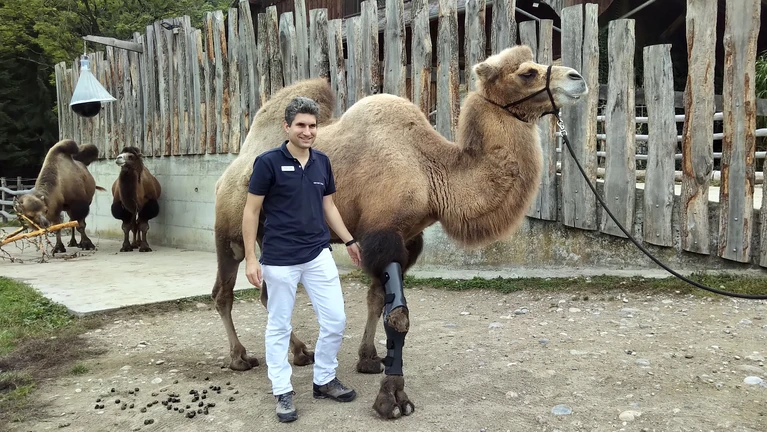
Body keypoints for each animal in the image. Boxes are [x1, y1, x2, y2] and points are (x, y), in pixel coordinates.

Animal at [210, 45, 588, 419]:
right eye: (527, 72)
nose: (578, 78)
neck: (432, 171)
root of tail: (236, 163)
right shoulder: (384, 233)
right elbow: (399, 316)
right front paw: (391, 398)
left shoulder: (408, 239)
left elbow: (377, 300)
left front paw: (368, 359)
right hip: (231, 232)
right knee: (223, 293)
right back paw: (240, 357)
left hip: (265, 237)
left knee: (267, 296)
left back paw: (302, 353)